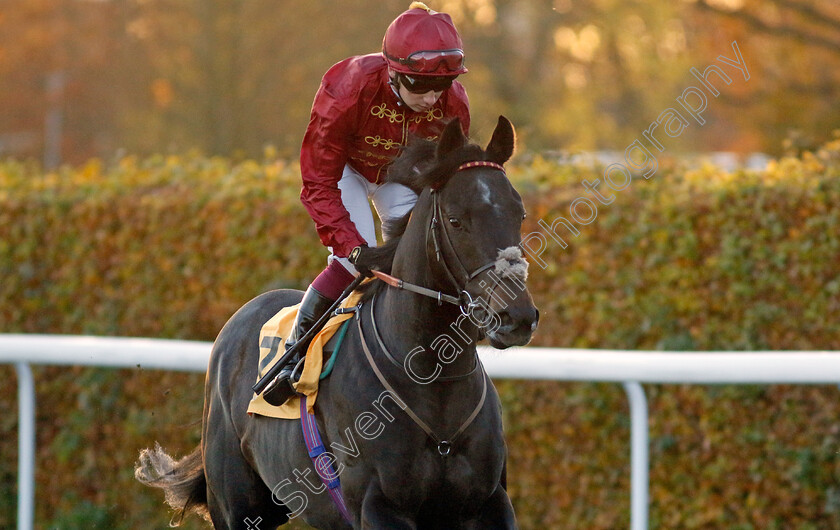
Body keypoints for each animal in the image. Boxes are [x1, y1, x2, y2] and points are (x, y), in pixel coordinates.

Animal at [136, 116, 540, 528]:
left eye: (519, 214)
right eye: (456, 221)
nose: (516, 316)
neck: (434, 382)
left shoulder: (488, 502)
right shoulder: (377, 506)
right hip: (237, 507)